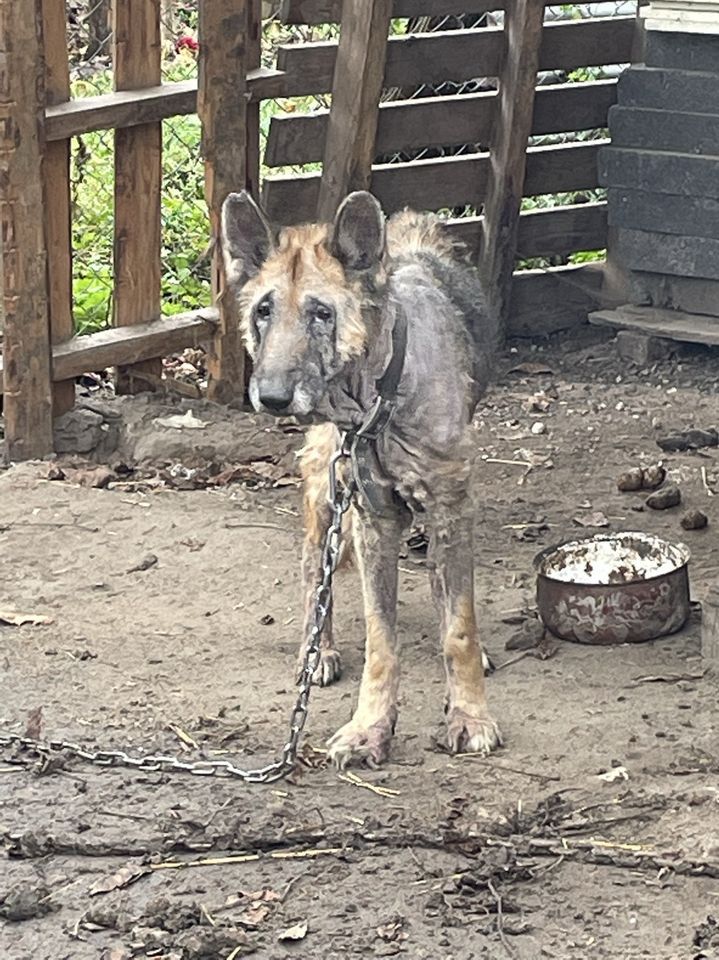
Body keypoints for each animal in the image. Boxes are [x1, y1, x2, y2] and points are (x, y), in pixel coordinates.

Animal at [219, 191, 500, 768]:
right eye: (264, 311)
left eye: (321, 313)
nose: (271, 397)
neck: (381, 396)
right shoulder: (375, 518)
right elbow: (380, 640)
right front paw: (371, 727)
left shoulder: (451, 510)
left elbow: (458, 625)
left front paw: (469, 714)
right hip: (325, 492)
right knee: (314, 574)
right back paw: (318, 650)